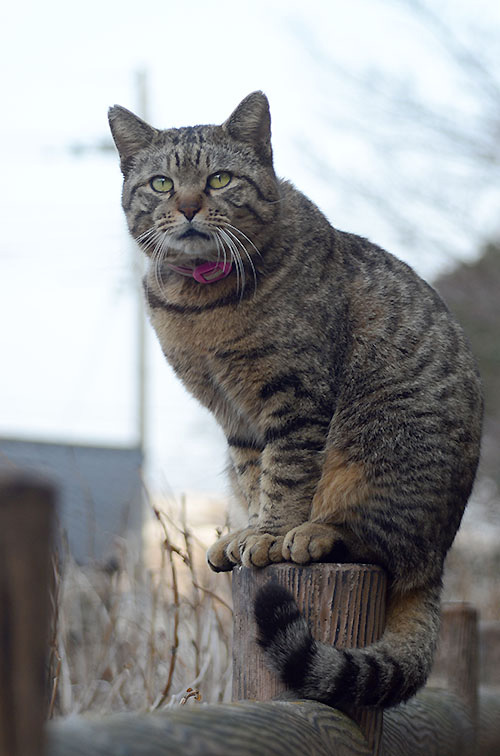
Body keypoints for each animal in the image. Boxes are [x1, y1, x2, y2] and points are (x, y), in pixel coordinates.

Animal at [108, 93, 480, 708]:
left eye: (219, 178)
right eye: (161, 184)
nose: (187, 206)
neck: (202, 303)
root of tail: (441, 562)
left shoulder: (296, 396)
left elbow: (285, 474)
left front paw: (270, 534)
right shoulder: (235, 415)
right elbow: (255, 473)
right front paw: (251, 530)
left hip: (384, 442)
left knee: (380, 545)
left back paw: (317, 533)